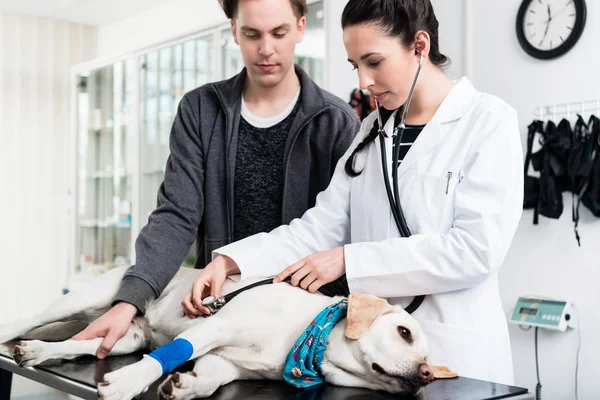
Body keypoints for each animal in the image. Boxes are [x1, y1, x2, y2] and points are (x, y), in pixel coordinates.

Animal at [0, 264, 436, 398]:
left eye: (429, 356)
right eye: (404, 332)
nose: (428, 374)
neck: (305, 338)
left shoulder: (225, 364)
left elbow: (210, 379)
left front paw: (186, 387)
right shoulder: (217, 326)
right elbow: (167, 356)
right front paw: (128, 383)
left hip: (125, 336)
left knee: (84, 345)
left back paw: (36, 352)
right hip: (85, 299)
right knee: (27, 321)